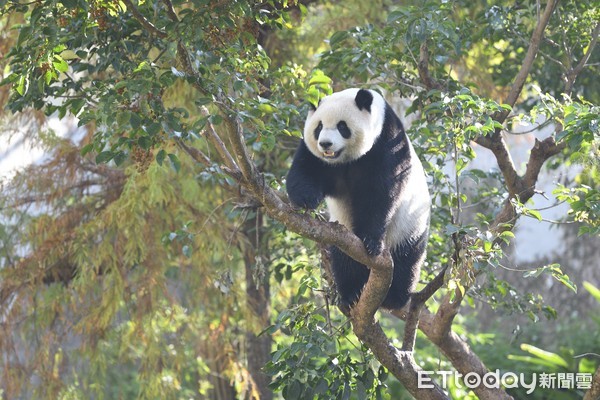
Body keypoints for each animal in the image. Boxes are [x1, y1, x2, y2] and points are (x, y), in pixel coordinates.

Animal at [288, 89, 432, 310]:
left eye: (342, 127)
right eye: (319, 127)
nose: (325, 143)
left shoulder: (387, 144)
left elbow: (381, 193)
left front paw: (371, 242)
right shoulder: (315, 155)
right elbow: (306, 168)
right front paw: (306, 199)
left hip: (410, 225)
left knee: (407, 258)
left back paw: (394, 298)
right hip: (342, 229)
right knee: (344, 260)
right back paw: (351, 294)